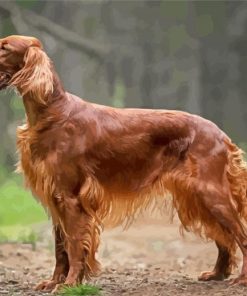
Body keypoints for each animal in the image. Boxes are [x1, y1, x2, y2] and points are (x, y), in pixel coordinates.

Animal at [0, 34, 247, 292]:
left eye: (5, 47)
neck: (52, 112)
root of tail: (221, 134)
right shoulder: (56, 196)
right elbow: (61, 247)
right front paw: (55, 281)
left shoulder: (71, 198)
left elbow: (75, 245)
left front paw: (69, 284)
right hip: (197, 197)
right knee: (224, 237)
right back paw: (217, 273)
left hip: (211, 193)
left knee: (241, 236)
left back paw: (241, 278)